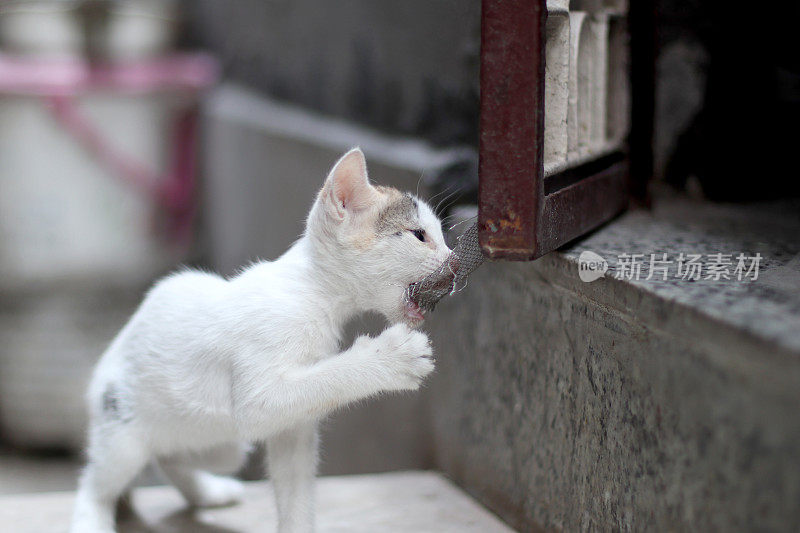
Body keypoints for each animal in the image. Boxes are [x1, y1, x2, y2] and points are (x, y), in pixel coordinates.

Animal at [70, 147, 450, 532]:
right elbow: (284, 397)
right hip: (123, 434)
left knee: (170, 456)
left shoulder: (294, 425)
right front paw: (391, 358)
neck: (313, 293)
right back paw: (92, 519)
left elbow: (295, 486)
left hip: (223, 444)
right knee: (96, 483)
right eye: (419, 235)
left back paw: (208, 492)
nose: (453, 261)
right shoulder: (265, 382)